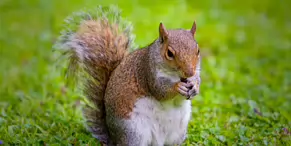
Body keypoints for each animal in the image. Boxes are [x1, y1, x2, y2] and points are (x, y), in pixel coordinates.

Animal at [54, 5, 201, 146]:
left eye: (198, 50)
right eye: (169, 53)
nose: (189, 72)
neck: (175, 75)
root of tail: (114, 138)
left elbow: (197, 80)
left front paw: (194, 87)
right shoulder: (148, 72)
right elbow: (160, 91)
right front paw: (178, 87)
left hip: (178, 133)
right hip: (134, 131)